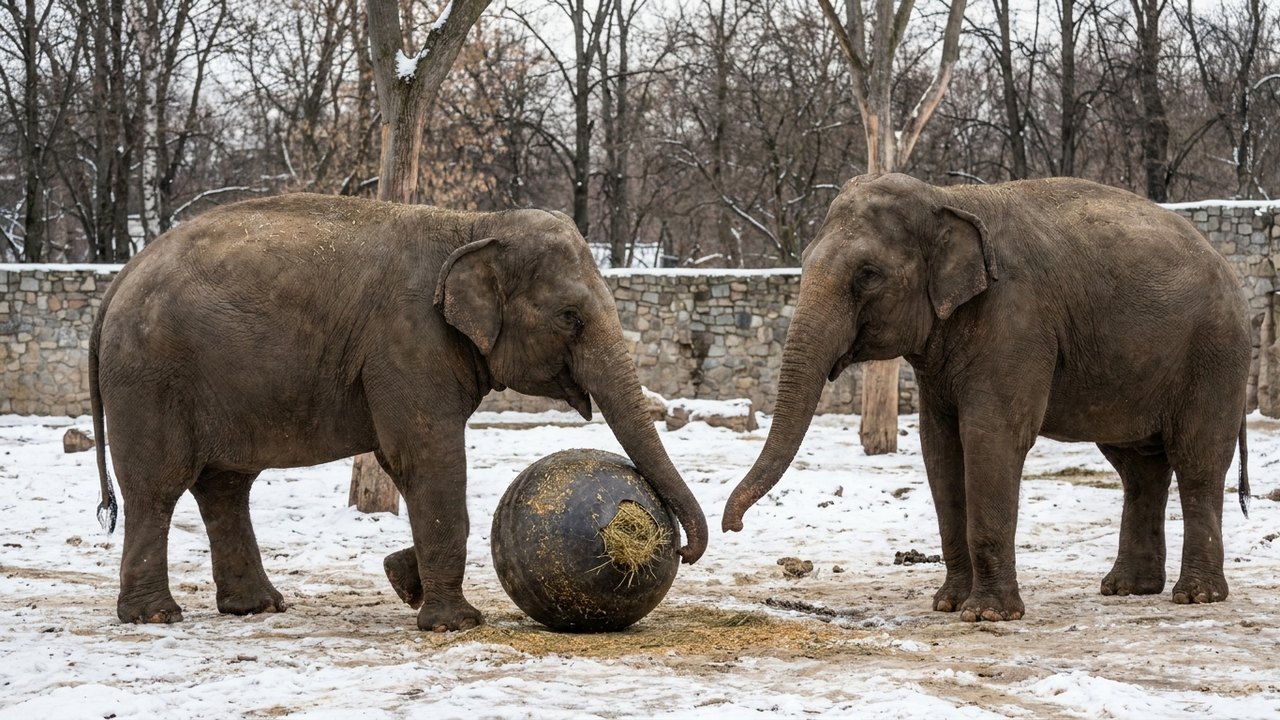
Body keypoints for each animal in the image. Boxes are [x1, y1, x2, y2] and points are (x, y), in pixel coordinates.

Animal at [90, 193, 708, 631]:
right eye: (571, 317)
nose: (680, 548)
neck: (475, 225)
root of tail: (119, 278)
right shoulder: (408, 342)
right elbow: (426, 456)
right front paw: (454, 624)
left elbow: (401, 460)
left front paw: (402, 580)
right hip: (150, 378)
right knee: (158, 487)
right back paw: (156, 616)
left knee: (225, 486)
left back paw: (258, 607)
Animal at [722, 173, 1251, 622]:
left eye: (868, 274)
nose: (733, 528)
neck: (946, 197)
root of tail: (1227, 267)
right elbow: (940, 448)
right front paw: (948, 604)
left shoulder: (1016, 319)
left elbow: (991, 438)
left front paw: (988, 615)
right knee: (1138, 469)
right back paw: (1126, 589)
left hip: (1215, 357)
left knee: (1197, 462)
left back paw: (1195, 596)